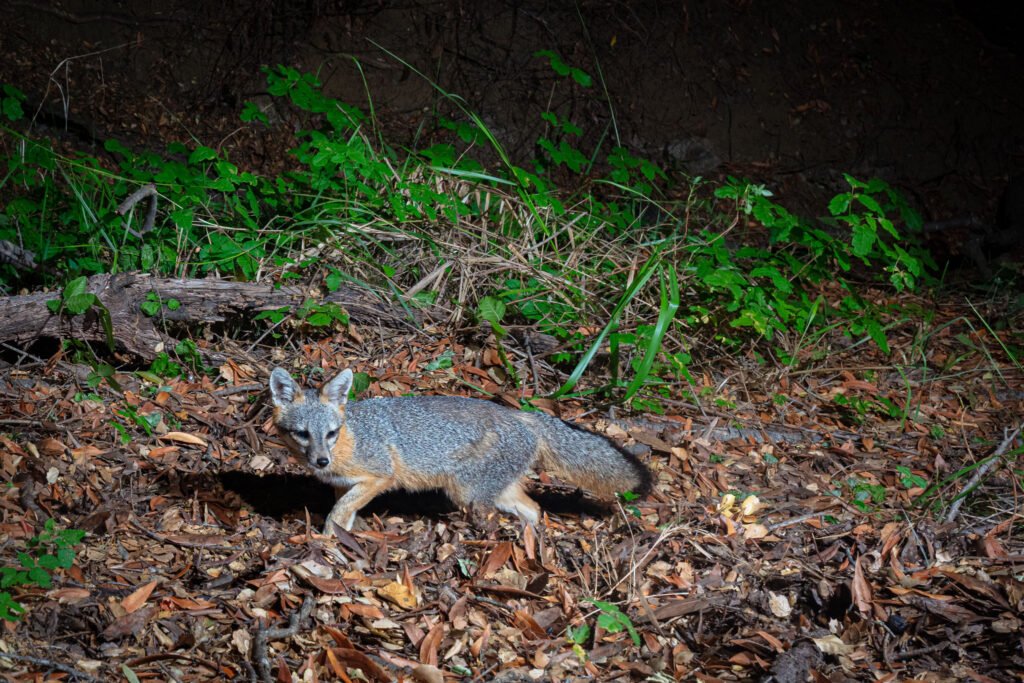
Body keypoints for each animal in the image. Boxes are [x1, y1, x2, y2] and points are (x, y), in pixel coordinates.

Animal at [268, 367, 651, 534]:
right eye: (303, 434)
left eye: (330, 433)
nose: (321, 461)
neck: (351, 439)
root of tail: (522, 415)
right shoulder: (345, 485)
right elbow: (344, 510)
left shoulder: (380, 477)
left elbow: (338, 513)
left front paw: (328, 545)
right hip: (496, 491)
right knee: (534, 509)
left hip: (467, 492)